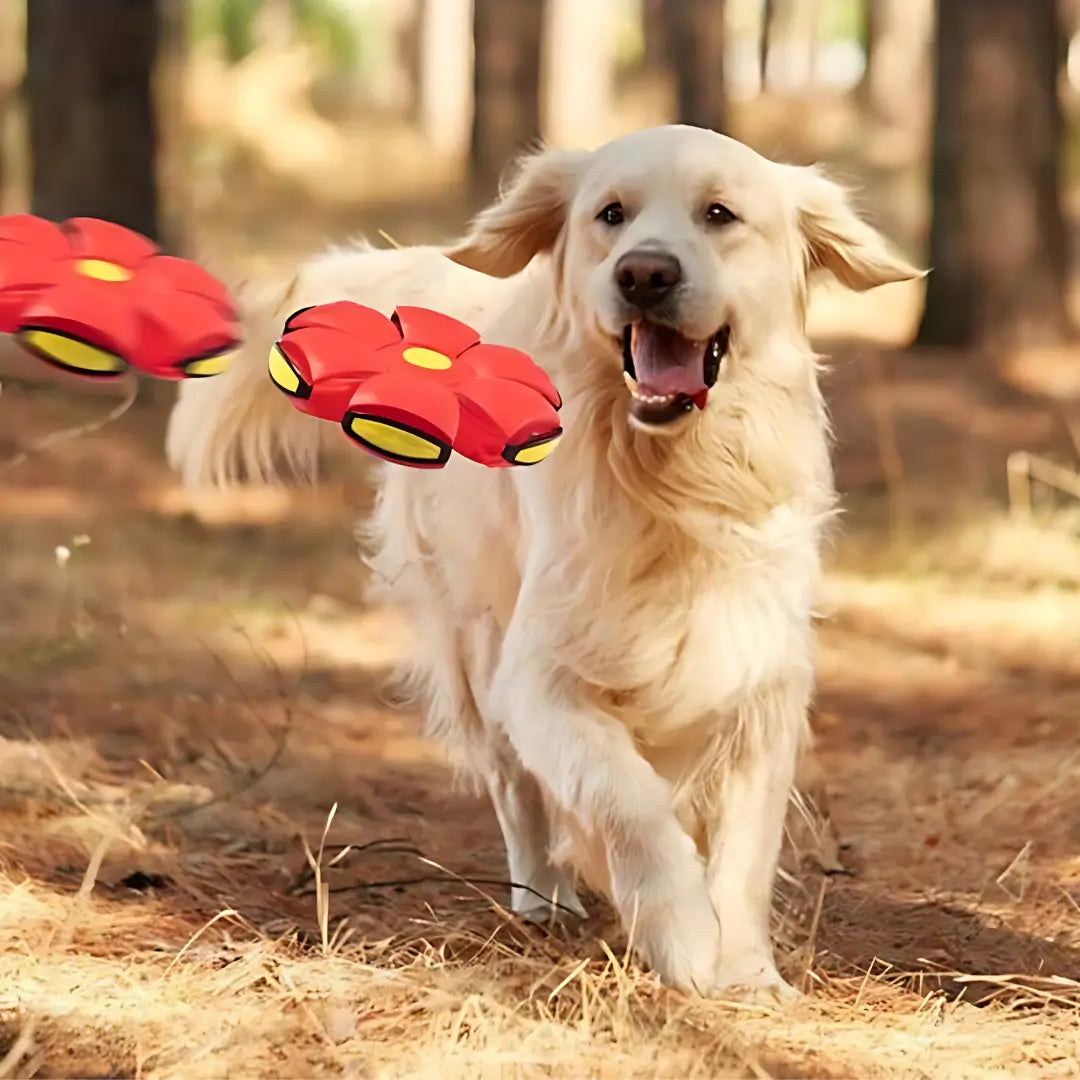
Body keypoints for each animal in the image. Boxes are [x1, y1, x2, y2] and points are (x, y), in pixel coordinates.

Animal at [168, 126, 920, 1002]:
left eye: (720, 214)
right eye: (610, 215)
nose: (644, 273)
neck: (669, 480)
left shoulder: (758, 678)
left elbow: (744, 849)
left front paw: (747, 972)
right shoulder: (539, 676)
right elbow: (627, 798)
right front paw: (682, 934)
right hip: (475, 640)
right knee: (513, 785)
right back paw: (543, 898)